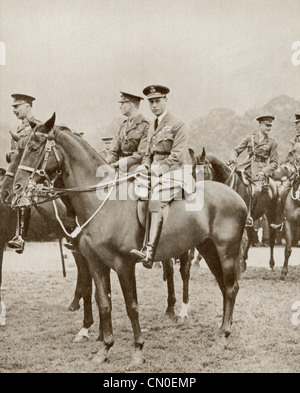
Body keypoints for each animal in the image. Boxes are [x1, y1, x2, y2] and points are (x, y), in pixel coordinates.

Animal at [11, 114, 247, 368]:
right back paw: (222, 331)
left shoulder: (124, 265)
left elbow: (131, 306)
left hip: (227, 251)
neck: (104, 202)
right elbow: (104, 303)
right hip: (208, 249)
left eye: (34, 148)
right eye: (21, 149)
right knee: (224, 287)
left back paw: (222, 338)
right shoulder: (96, 263)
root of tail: (236, 196)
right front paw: (104, 348)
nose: (17, 188)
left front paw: (137, 351)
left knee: (230, 288)